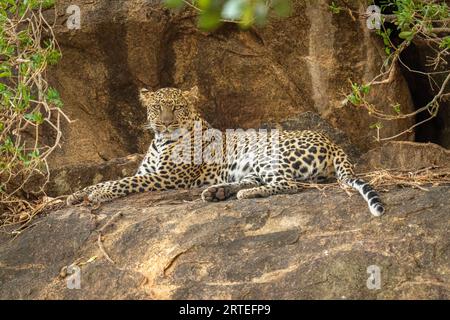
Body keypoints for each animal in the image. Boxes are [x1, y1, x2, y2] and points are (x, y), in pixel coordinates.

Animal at [66, 86, 384, 218]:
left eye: (176, 108)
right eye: (157, 107)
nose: (165, 122)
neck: (160, 140)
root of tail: (333, 143)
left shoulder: (167, 178)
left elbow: (123, 182)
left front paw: (98, 194)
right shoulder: (150, 171)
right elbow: (113, 179)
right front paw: (78, 194)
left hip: (269, 154)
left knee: (288, 184)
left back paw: (243, 194)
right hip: (254, 163)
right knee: (259, 181)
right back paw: (217, 192)